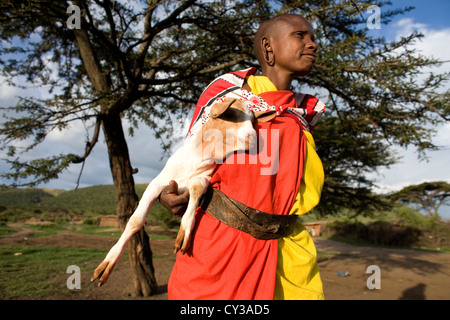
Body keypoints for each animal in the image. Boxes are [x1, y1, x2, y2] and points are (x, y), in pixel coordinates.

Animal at [91, 99, 256, 286]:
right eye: (231, 113)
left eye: (253, 120)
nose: (253, 136)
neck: (199, 156)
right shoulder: (158, 183)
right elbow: (135, 220)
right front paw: (107, 264)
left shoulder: (203, 177)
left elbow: (196, 189)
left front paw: (185, 230)